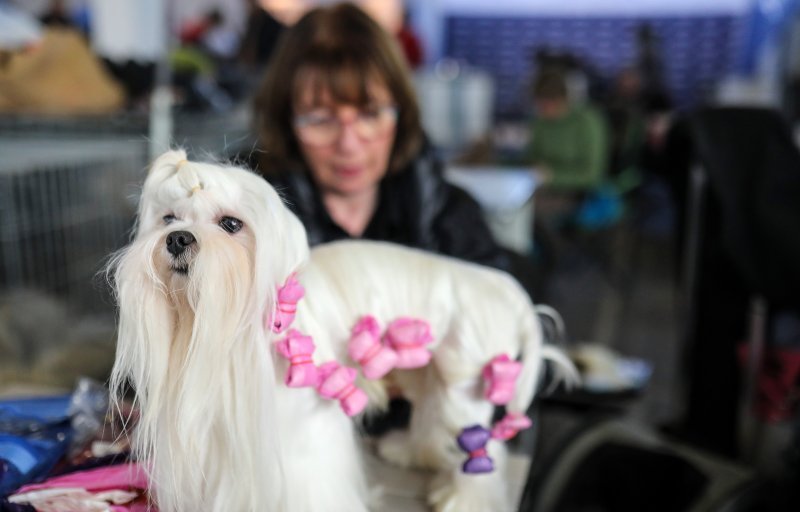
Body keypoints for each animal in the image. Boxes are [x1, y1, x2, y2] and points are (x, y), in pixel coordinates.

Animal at [109, 149, 580, 512]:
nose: (177, 239)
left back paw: (464, 499)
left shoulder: (304, 437)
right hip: (433, 375)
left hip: (464, 387)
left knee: (480, 448)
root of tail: (507, 291)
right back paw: (412, 453)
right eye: (169, 218)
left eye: (230, 224)